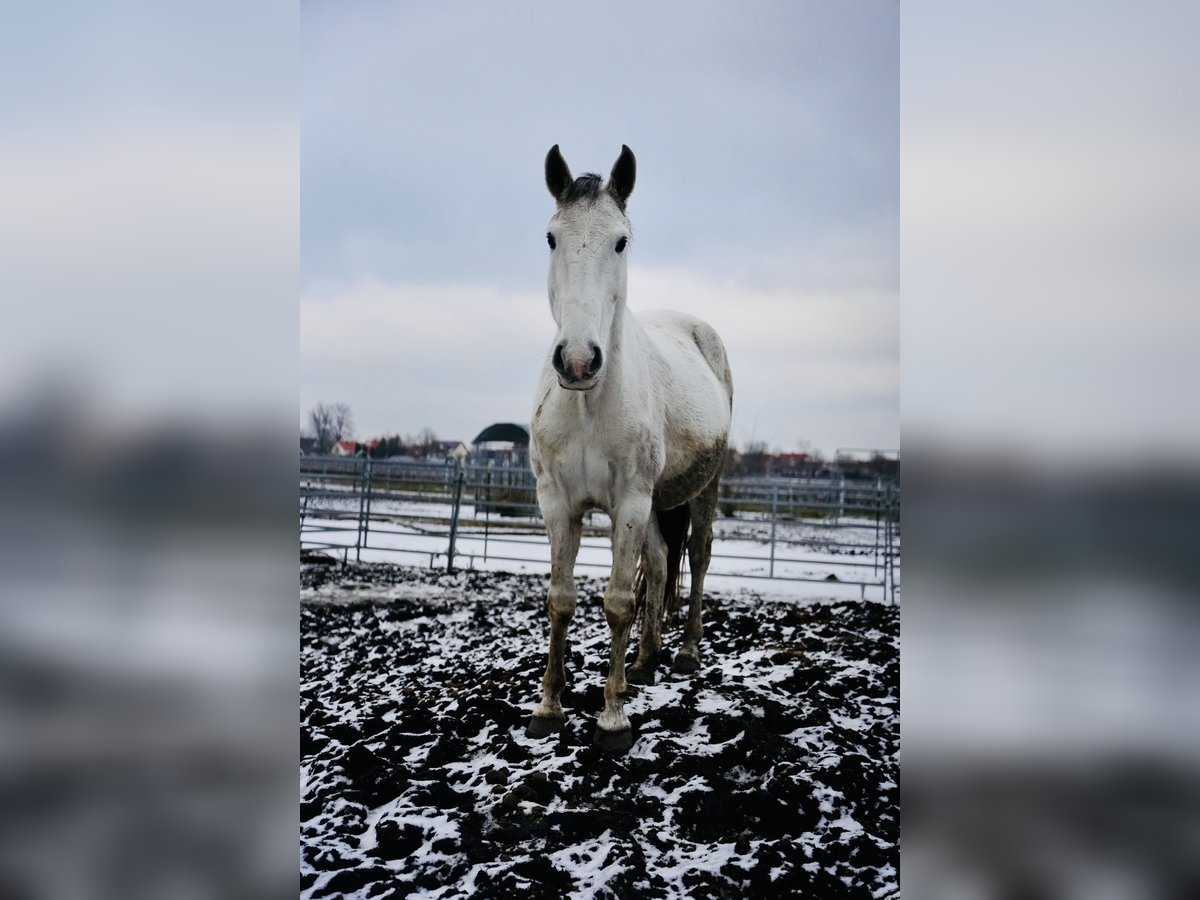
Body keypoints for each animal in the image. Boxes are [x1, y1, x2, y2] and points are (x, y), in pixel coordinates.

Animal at [530, 146, 734, 753]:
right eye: (551, 237)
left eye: (621, 241)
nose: (577, 360)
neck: (588, 404)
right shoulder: (557, 503)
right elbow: (561, 598)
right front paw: (549, 708)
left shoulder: (629, 504)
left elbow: (619, 601)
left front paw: (612, 720)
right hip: (652, 506)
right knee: (663, 565)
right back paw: (645, 662)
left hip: (697, 491)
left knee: (698, 557)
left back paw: (685, 652)